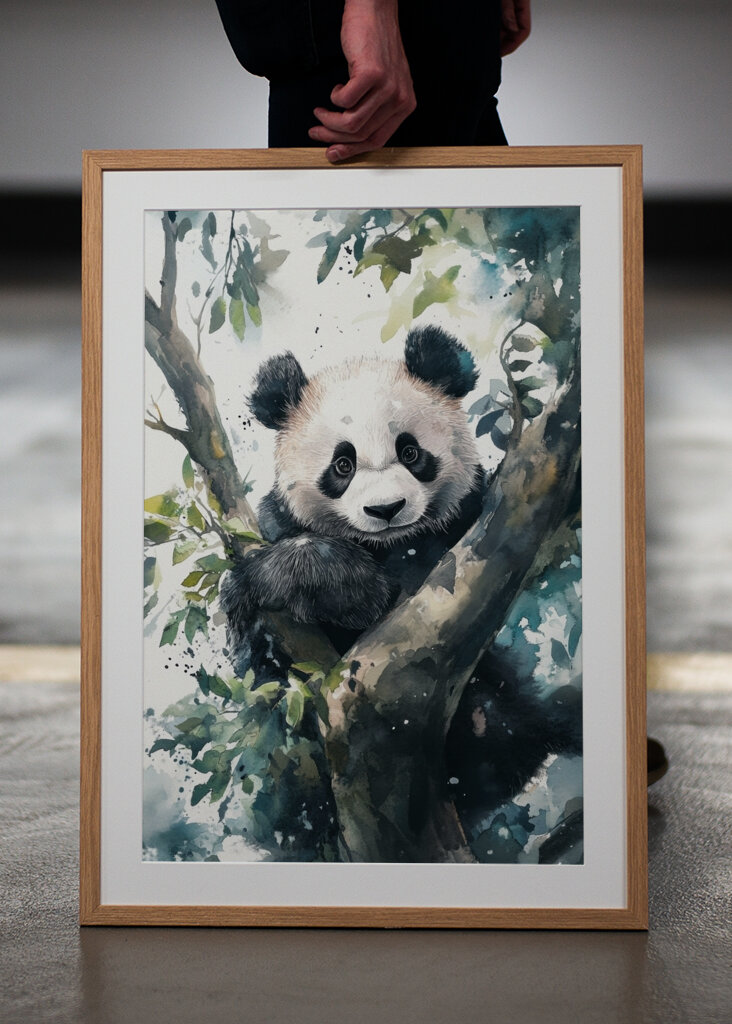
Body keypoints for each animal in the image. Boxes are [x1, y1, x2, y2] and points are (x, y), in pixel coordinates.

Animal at [221, 325, 582, 854]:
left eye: (411, 453)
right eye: (343, 465)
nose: (386, 509)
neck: (388, 544)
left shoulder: (467, 534)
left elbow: (404, 594)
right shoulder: (277, 528)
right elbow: (257, 652)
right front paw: (319, 579)